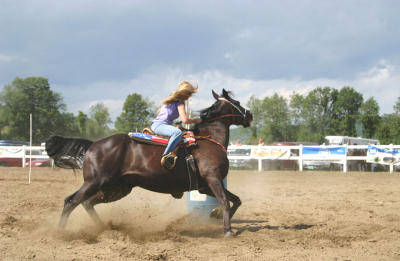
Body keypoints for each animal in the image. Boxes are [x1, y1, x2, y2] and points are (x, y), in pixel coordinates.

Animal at [46, 89, 253, 236]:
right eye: (237, 103)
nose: (250, 115)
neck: (209, 139)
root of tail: (93, 144)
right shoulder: (213, 179)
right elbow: (225, 201)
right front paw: (227, 229)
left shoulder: (204, 186)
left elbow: (236, 200)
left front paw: (217, 216)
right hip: (94, 182)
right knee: (71, 201)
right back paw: (60, 233)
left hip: (116, 188)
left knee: (87, 203)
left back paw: (103, 229)